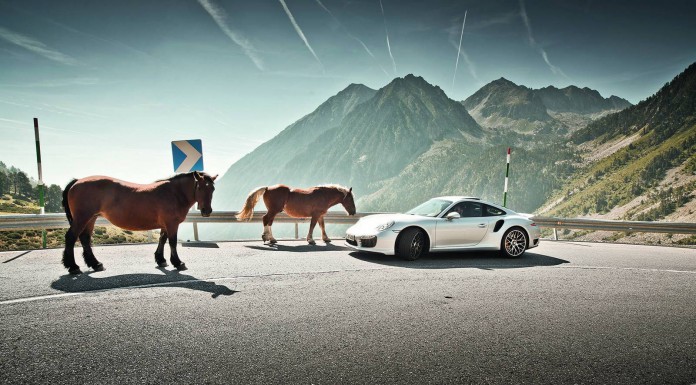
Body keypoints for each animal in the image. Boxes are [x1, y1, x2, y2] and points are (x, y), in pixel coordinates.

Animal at [61, 170, 218, 272]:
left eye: (212, 189)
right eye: (199, 187)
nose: (206, 211)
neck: (174, 193)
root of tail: (77, 182)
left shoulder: (165, 224)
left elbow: (162, 239)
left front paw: (161, 260)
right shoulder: (172, 224)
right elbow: (172, 242)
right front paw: (178, 262)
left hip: (91, 218)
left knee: (85, 238)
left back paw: (95, 264)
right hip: (82, 218)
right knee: (71, 237)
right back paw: (73, 266)